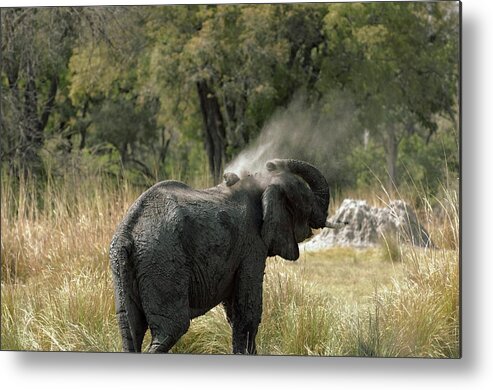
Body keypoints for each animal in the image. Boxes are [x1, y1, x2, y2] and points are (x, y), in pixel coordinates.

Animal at [109, 158, 328, 354]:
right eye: (307, 201)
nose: (272, 163)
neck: (261, 183)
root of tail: (126, 235)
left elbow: (235, 311)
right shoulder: (252, 244)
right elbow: (247, 311)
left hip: (124, 266)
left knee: (130, 330)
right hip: (163, 263)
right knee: (172, 328)